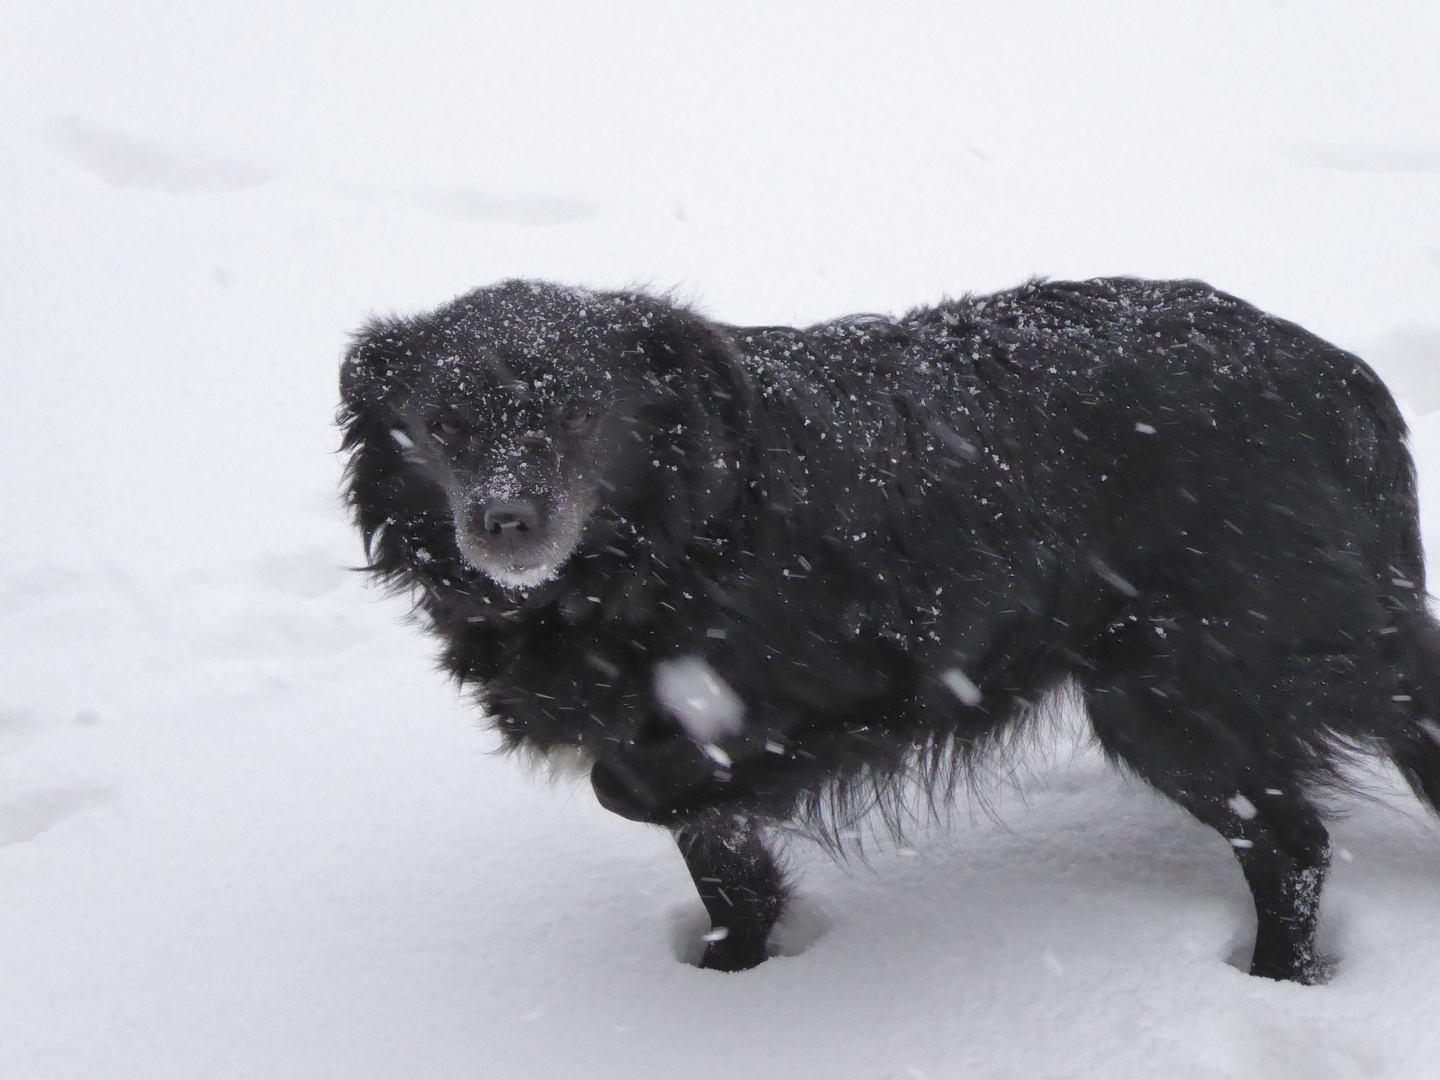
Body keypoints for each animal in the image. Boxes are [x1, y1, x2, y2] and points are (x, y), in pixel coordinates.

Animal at [339, 276, 1440, 979]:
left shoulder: (852, 687)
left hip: (1165, 694)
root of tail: (1341, 382)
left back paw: (1275, 980)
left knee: (1294, 844)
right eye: (444, 423)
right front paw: (738, 971)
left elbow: (645, 785)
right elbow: (719, 872)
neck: (673, 538)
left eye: (574, 413)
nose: (504, 524)